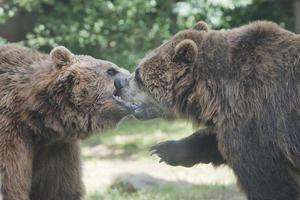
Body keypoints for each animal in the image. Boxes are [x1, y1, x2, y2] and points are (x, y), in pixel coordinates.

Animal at [0, 44, 135, 199]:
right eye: (111, 70)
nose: (133, 77)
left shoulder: (57, 148)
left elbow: (59, 188)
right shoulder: (10, 133)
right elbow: (9, 184)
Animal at [115, 21, 300, 199]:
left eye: (138, 74)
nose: (118, 83)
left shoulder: (258, 118)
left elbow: (267, 181)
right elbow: (215, 141)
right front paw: (166, 150)